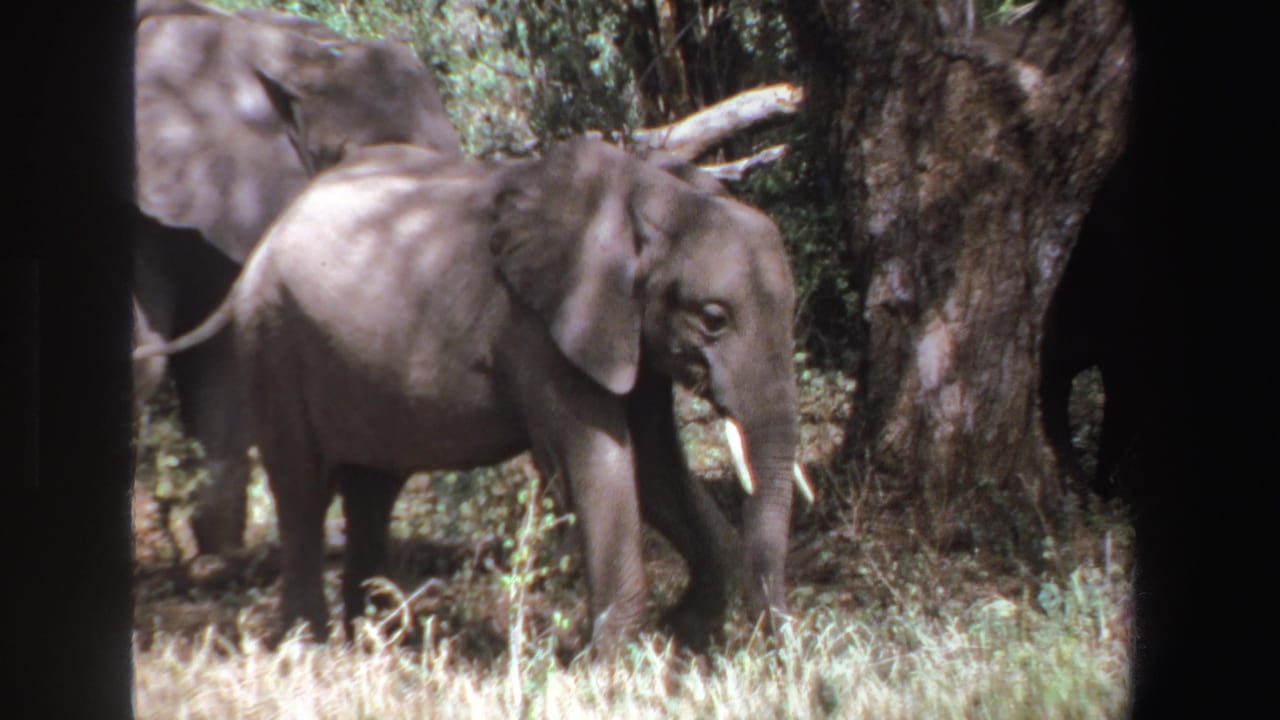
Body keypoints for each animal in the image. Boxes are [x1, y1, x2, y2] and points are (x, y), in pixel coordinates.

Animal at [135, 137, 808, 651]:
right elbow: (600, 461)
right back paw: (314, 648)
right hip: (273, 341)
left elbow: (660, 467)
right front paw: (610, 662)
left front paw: (685, 629)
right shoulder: (539, 329)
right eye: (713, 318)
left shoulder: (624, 333)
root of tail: (267, 238)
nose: (777, 650)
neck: (648, 190)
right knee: (302, 489)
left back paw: (381, 641)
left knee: (372, 489)